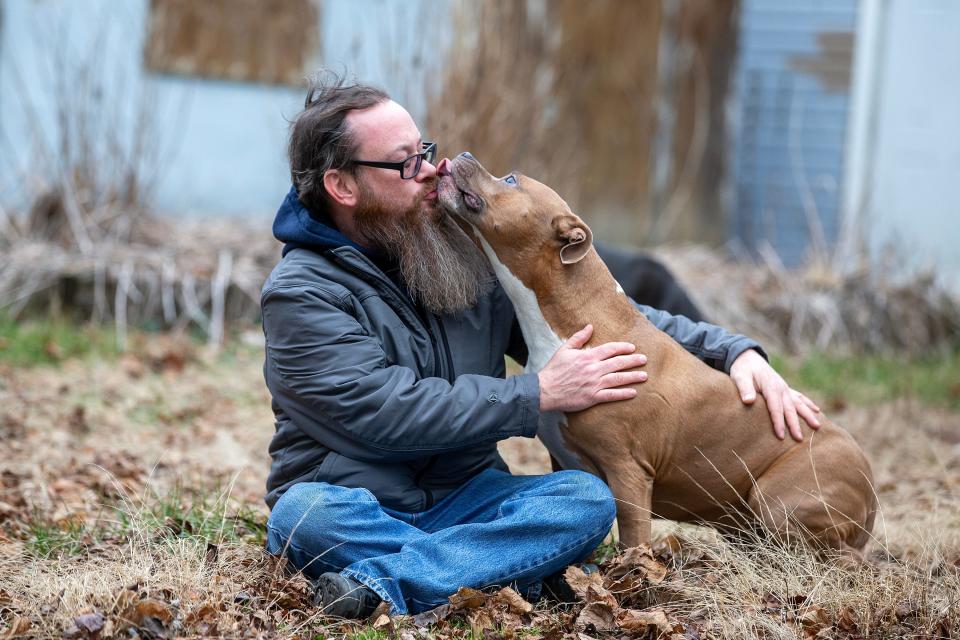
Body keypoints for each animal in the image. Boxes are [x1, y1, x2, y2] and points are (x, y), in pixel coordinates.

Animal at [436, 154, 876, 556]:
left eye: (511, 179)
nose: (464, 154)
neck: (573, 322)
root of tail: (871, 486)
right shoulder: (564, 462)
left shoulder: (628, 470)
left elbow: (634, 540)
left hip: (776, 500)